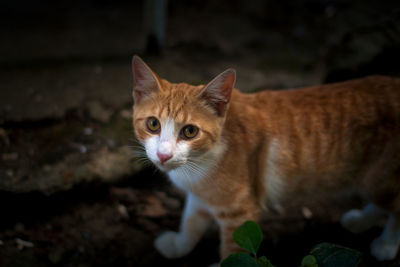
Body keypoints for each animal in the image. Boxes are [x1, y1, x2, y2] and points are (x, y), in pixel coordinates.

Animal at [132, 55, 400, 264]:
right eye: (153, 124)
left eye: (189, 131)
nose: (164, 155)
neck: (200, 164)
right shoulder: (201, 194)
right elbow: (191, 221)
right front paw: (179, 244)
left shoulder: (240, 210)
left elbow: (233, 252)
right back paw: (361, 220)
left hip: (379, 178)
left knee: (395, 205)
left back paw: (387, 244)